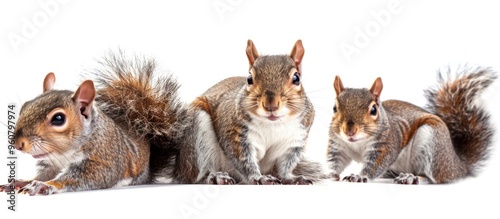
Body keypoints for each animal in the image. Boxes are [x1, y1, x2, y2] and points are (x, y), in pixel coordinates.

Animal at [0, 51, 187, 195]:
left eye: (58, 119)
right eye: (25, 106)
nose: (18, 143)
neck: (63, 154)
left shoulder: (104, 159)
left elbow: (87, 177)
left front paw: (44, 185)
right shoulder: (51, 164)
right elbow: (44, 174)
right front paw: (22, 182)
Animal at [328, 66, 496, 183]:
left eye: (373, 110)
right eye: (334, 108)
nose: (349, 130)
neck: (357, 142)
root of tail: (458, 165)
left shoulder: (386, 145)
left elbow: (375, 165)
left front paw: (359, 176)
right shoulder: (338, 144)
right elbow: (335, 160)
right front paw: (329, 174)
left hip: (433, 144)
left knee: (433, 178)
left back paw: (411, 178)